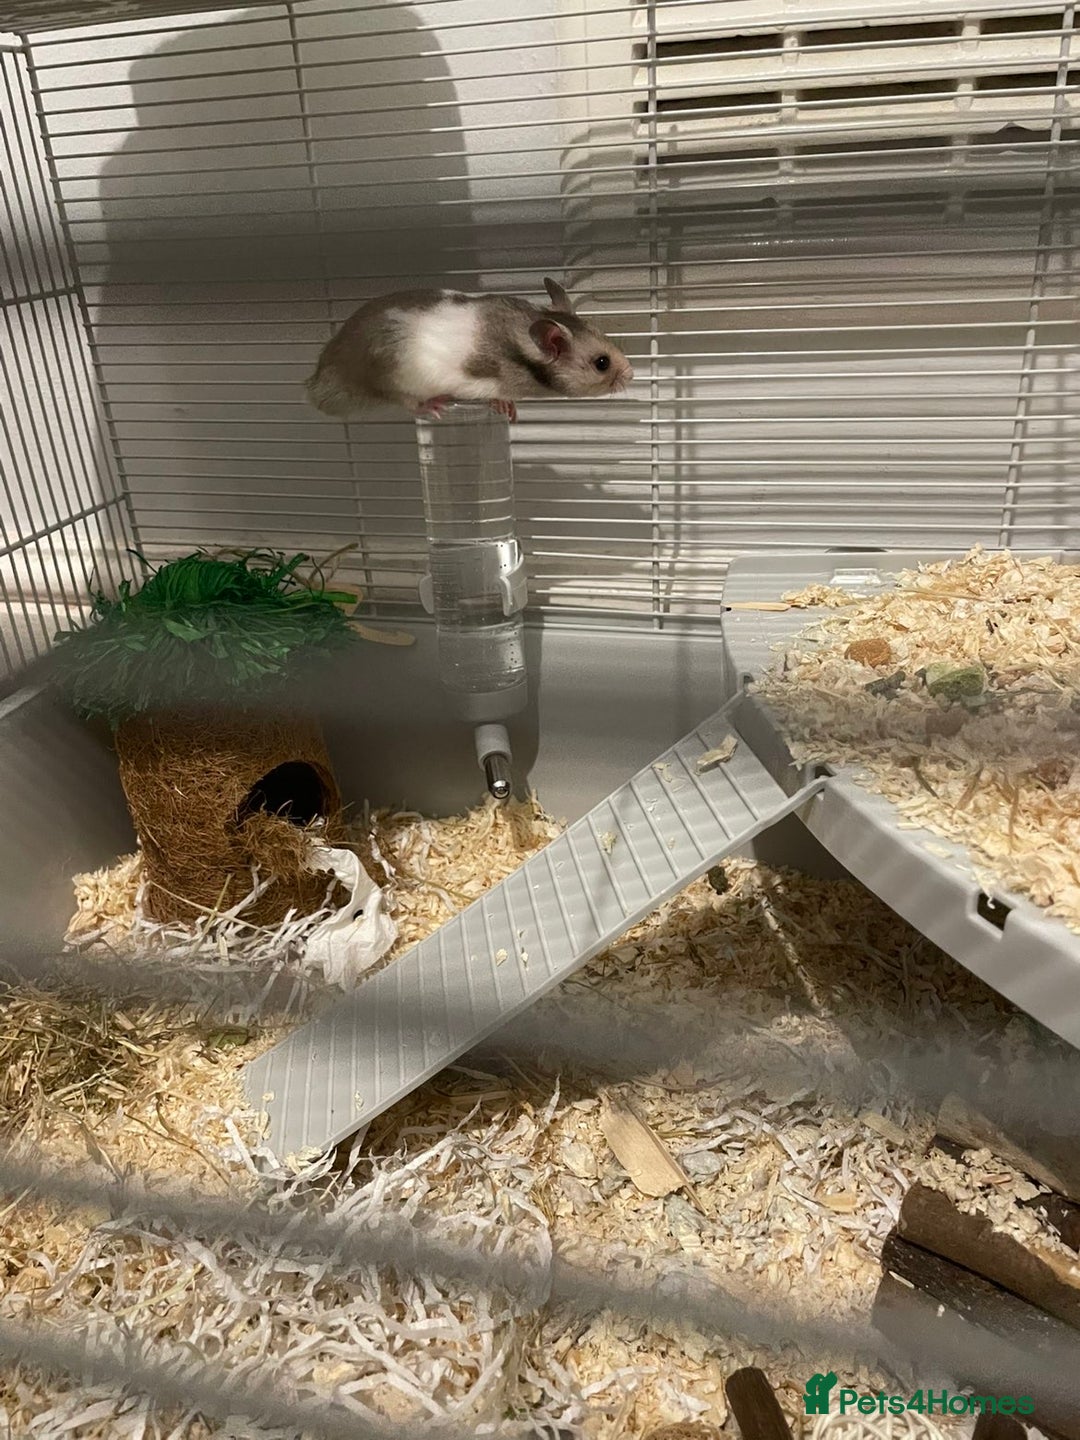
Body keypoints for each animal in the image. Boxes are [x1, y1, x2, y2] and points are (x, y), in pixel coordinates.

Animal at [304, 277, 634, 422]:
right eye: (602, 363)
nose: (631, 374)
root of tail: (320, 379)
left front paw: (512, 411)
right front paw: (505, 408)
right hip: (390, 376)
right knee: (406, 401)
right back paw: (433, 406)